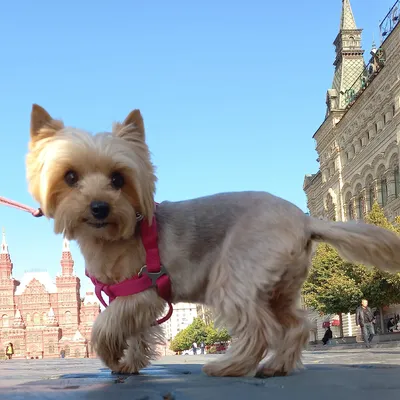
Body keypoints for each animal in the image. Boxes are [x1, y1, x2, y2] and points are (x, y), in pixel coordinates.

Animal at [26, 104, 400, 378]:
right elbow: (137, 332)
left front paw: (111, 354)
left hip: (234, 277)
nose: (99, 207)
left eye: (118, 179)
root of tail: (304, 219)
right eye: (70, 177)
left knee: (259, 328)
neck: (115, 233)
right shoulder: (136, 301)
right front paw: (130, 362)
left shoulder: (139, 292)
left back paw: (230, 366)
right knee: (296, 325)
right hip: (279, 287)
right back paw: (276, 366)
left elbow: (104, 326)